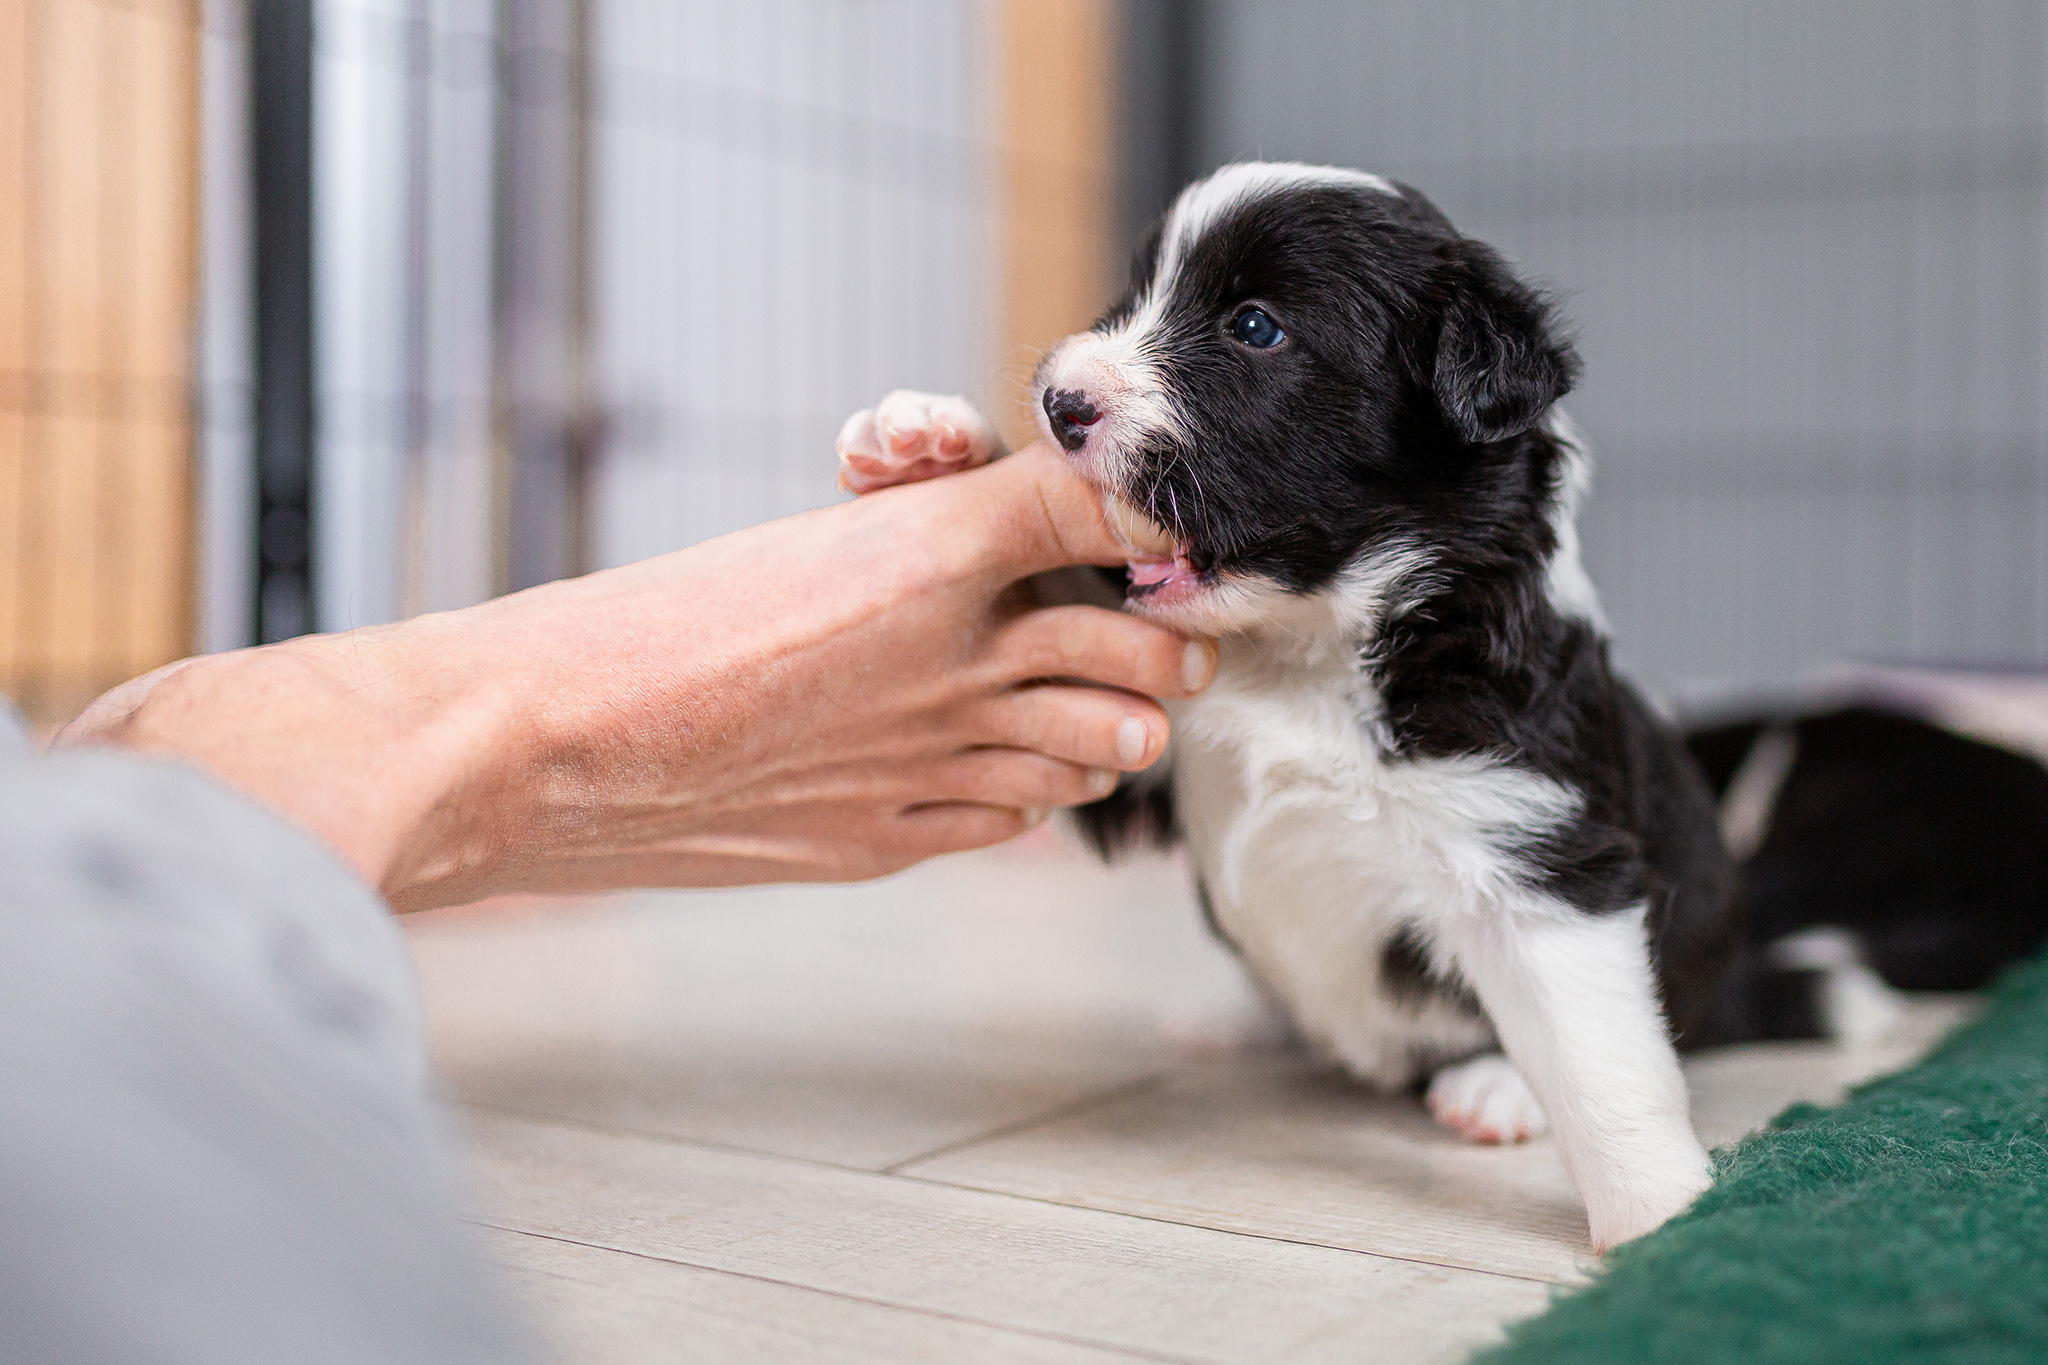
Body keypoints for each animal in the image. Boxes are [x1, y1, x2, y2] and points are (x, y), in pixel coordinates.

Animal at [839, 160, 1736, 1252]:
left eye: (1255, 328)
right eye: (1134, 296)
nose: (1059, 403)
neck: (1296, 652)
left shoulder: (1530, 844)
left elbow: (1599, 1053)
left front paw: (1664, 1220)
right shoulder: (1138, 732)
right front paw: (925, 445)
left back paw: (1494, 1090)